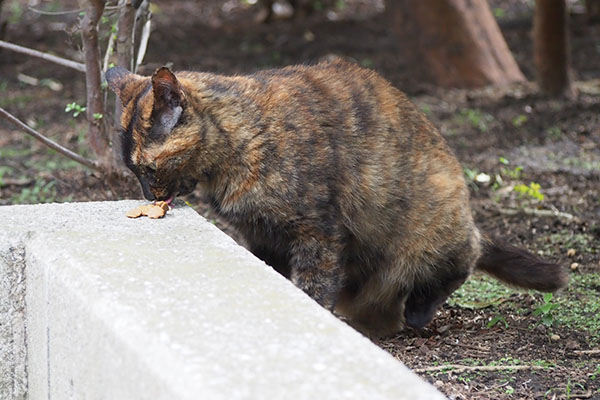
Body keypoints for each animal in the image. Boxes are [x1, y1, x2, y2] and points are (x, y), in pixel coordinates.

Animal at [104, 58, 568, 334]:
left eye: (148, 169)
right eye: (133, 171)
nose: (145, 193)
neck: (243, 139)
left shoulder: (318, 232)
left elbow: (313, 285)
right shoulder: (261, 234)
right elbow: (274, 274)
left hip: (432, 225)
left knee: (460, 261)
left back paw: (416, 313)